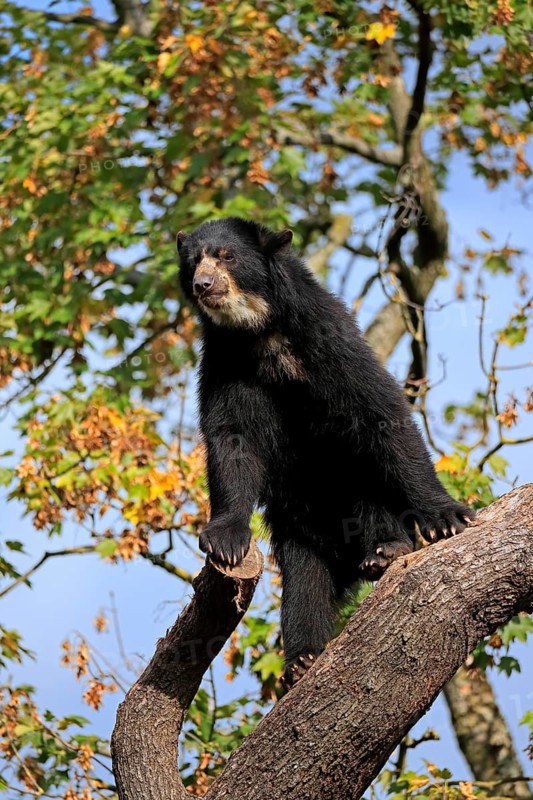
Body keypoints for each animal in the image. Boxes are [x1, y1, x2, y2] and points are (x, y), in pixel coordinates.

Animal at [176, 217, 475, 688]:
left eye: (227, 256)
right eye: (193, 261)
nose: (203, 284)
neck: (260, 330)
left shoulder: (327, 338)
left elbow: (381, 413)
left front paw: (448, 517)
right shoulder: (226, 362)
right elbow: (232, 440)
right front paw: (225, 541)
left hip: (358, 488)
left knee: (371, 494)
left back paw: (390, 551)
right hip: (296, 527)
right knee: (304, 584)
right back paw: (302, 659)